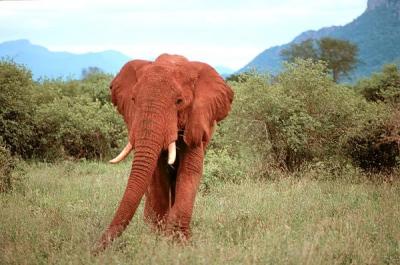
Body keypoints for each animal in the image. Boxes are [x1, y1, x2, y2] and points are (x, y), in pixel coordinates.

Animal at [95, 53, 233, 250]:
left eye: (179, 102)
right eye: (133, 100)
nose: (94, 249)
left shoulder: (196, 120)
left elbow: (190, 170)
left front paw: (178, 242)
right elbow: (156, 174)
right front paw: (157, 237)